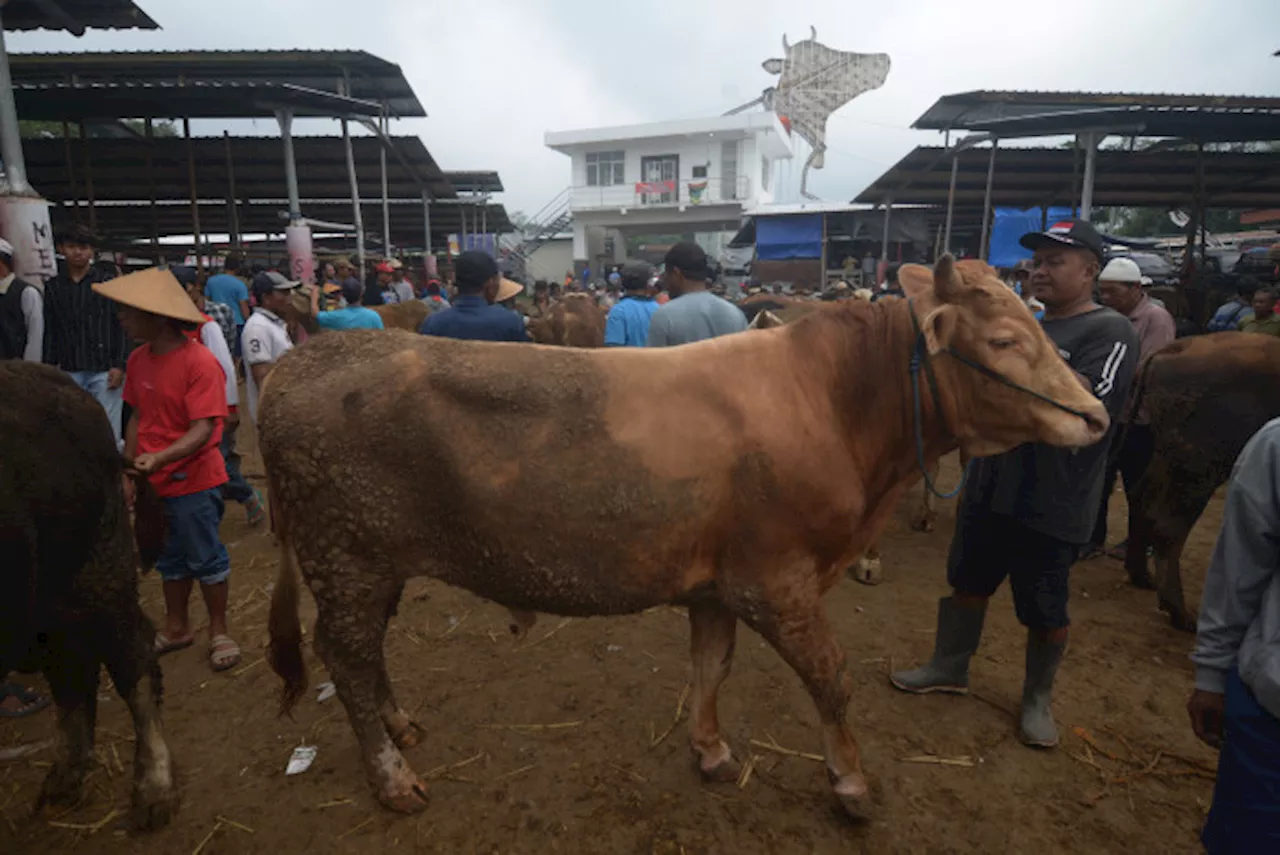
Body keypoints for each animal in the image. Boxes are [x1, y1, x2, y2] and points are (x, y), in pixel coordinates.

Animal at [257, 258, 1100, 819]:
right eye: (1004, 338)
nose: (1094, 413)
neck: (830, 400)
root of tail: (305, 357)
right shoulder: (778, 582)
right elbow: (831, 677)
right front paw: (850, 782)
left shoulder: (719, 583)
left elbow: (710, 666)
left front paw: (713, 749)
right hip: (347, 558)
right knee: (349, 658)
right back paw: (392, 774)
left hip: (372, 564)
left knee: (368, 652)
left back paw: (403, 725)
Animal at [1126, 330, 1280, 632]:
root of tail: (1177, 347)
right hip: (1200, 469)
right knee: (1168, 525)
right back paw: (1180, 613)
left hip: (1169, 459)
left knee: (1141, 498)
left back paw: (1142, 577)